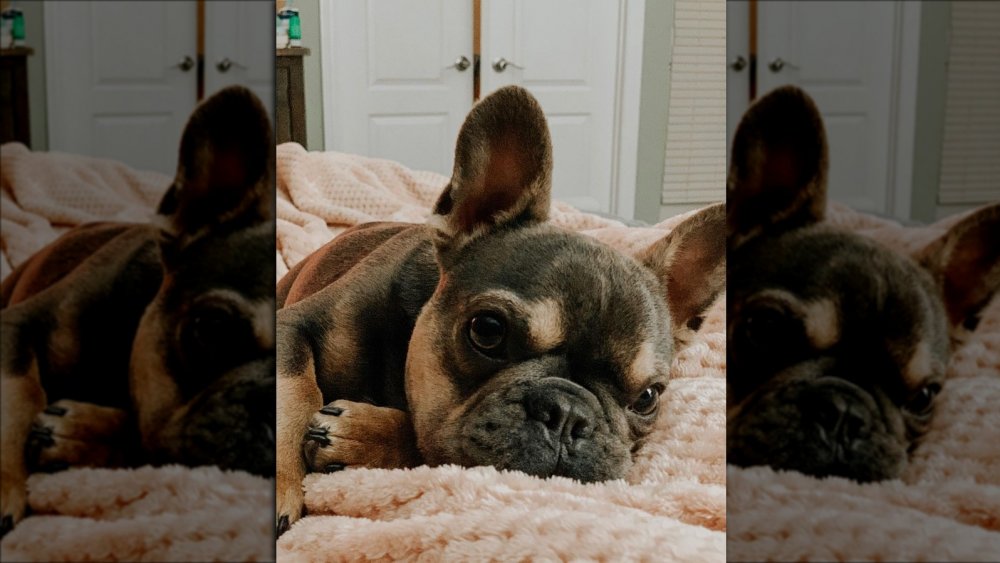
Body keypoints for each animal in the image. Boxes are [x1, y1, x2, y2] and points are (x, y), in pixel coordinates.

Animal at [274, 85, 728, 532]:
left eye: (649, 397)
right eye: (488, 330)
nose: (568, 414)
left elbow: (430, 443)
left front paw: (364, 435)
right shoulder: (290, 328)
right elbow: (293, 392)